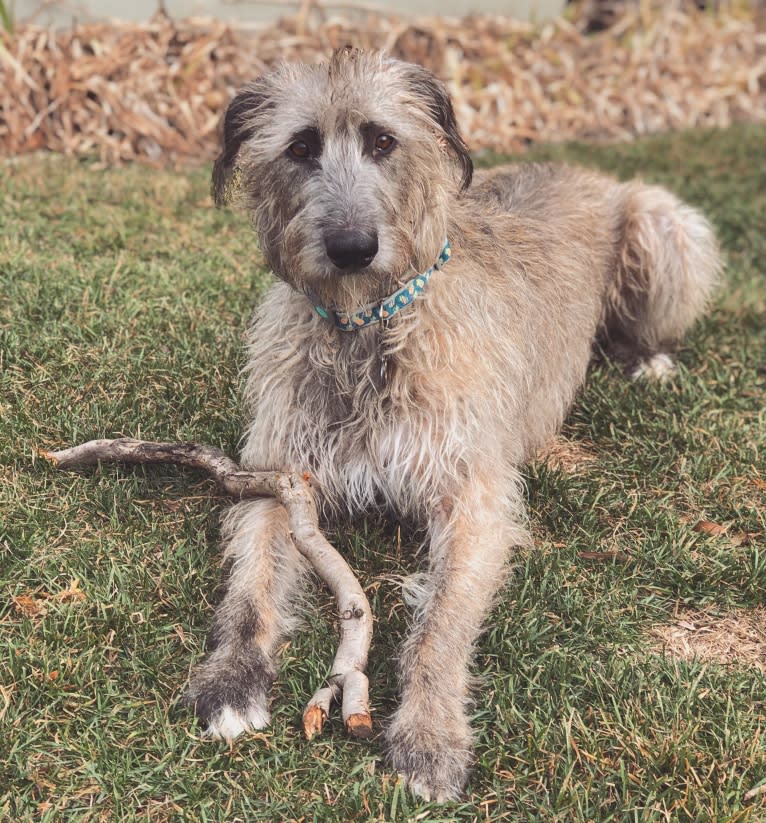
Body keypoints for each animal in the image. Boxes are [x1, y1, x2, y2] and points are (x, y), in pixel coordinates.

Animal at [184, 48, 720, 800]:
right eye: (301, 147)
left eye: (382, 140)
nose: (352, 246)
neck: (370, 326)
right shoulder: (279, 474)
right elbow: (250, 588)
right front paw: (232, 680)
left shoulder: (472, 497)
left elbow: (439, 625)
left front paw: (429, 736)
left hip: (665, 225)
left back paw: (644, 358)